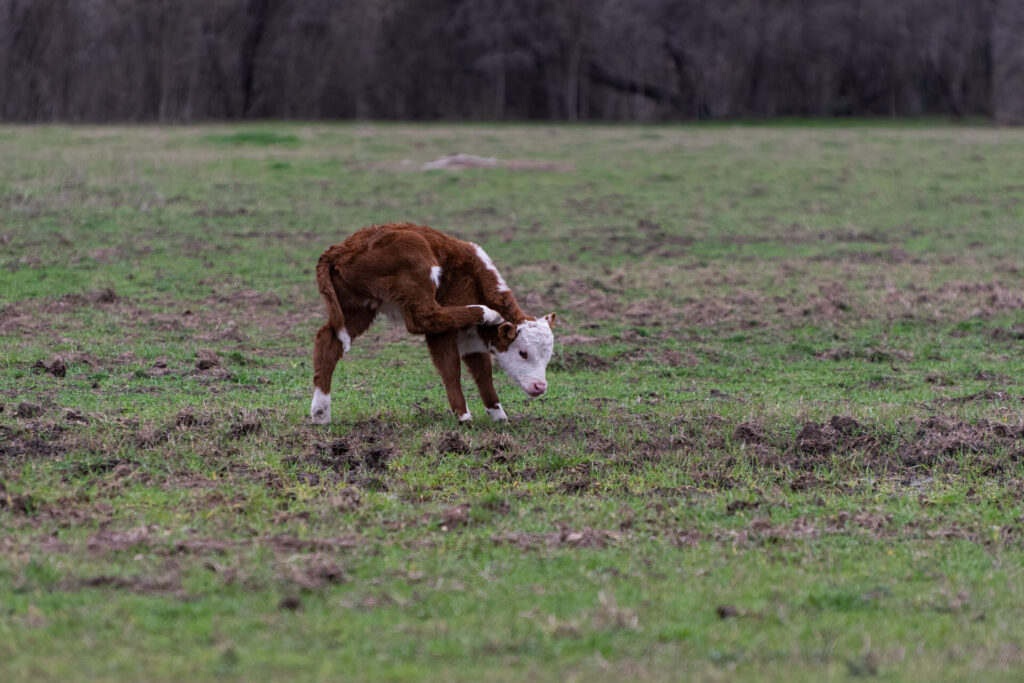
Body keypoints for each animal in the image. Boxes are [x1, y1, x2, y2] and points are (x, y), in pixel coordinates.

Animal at [311, 223, 557, 425]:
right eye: (523, 353)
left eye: (548, 356)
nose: (540, 387)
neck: (476, 281)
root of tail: (343, 246)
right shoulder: (443, 333)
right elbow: (451, 367)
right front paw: (463, 415)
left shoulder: (473, 341)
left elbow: (483, 373)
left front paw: (498, 415)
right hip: (416, 260)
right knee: (424, 317)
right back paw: (488, 313)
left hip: (357, 308)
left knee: (328, 340)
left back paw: (320, 412)